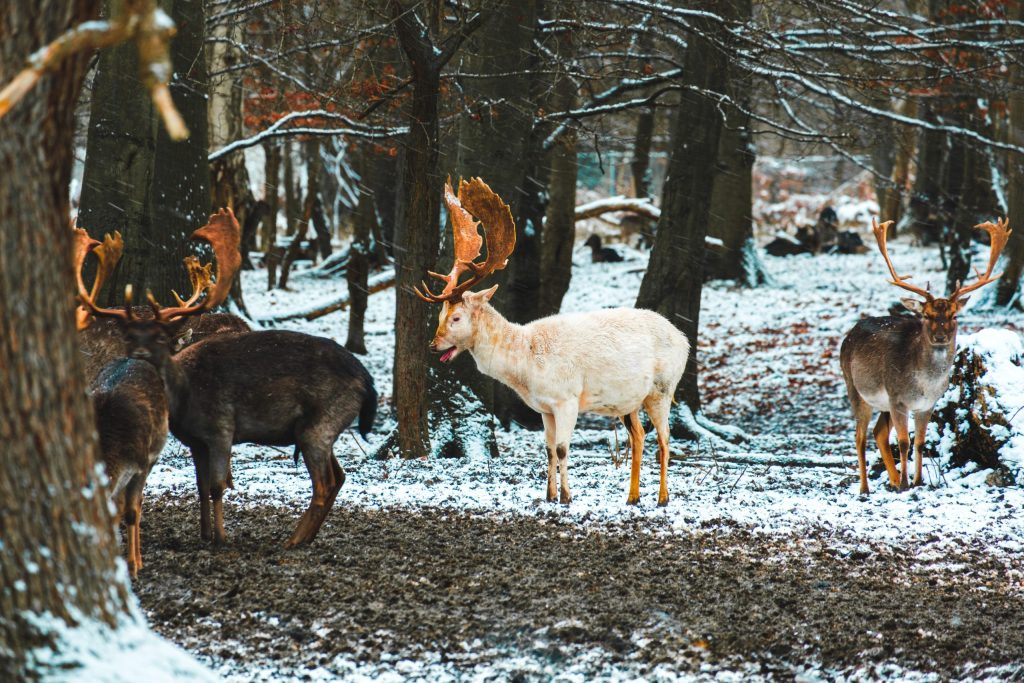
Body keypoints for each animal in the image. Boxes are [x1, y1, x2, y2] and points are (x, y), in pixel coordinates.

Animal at [75, 208, 378, 548]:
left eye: (162, 337)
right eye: (128, 336)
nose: (139, 357)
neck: (185, 397)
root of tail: (369, 382)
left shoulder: (221, 428)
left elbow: (218, 485)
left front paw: (221, 536)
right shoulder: (195, 441)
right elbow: (201, 485)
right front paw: (205, 533)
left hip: (320, 424)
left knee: (324, 483)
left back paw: (293, 540)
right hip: (323, 428)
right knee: (339, 476)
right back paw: (304, 536)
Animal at [416, 178, 690, 506]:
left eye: (456, 318)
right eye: (441, 314)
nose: (434, 345)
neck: (526, 369)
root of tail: (684, 339)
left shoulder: (567, 399)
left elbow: (561, 448)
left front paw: (567, 497)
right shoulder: (544, 408)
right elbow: (547, 449)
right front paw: (548, 495)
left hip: (662, 389)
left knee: (665, 439)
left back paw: (662, 498)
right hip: (630, 400)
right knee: (638, 436)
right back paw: (632, 497)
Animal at [840, 217, 1011, 494]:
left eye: (954, 315)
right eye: (927, 315)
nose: (940, 337)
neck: (924, 384)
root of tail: (849, 334)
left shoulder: (928, 404)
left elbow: (919, 443)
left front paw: (918, 482)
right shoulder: (898, 399)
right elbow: (904, 442)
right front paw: (906, 484)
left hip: (882, 404)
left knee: (878, 433)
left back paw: (892, 480)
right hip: (855, 388)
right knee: (859, 436)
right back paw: (865, 488)